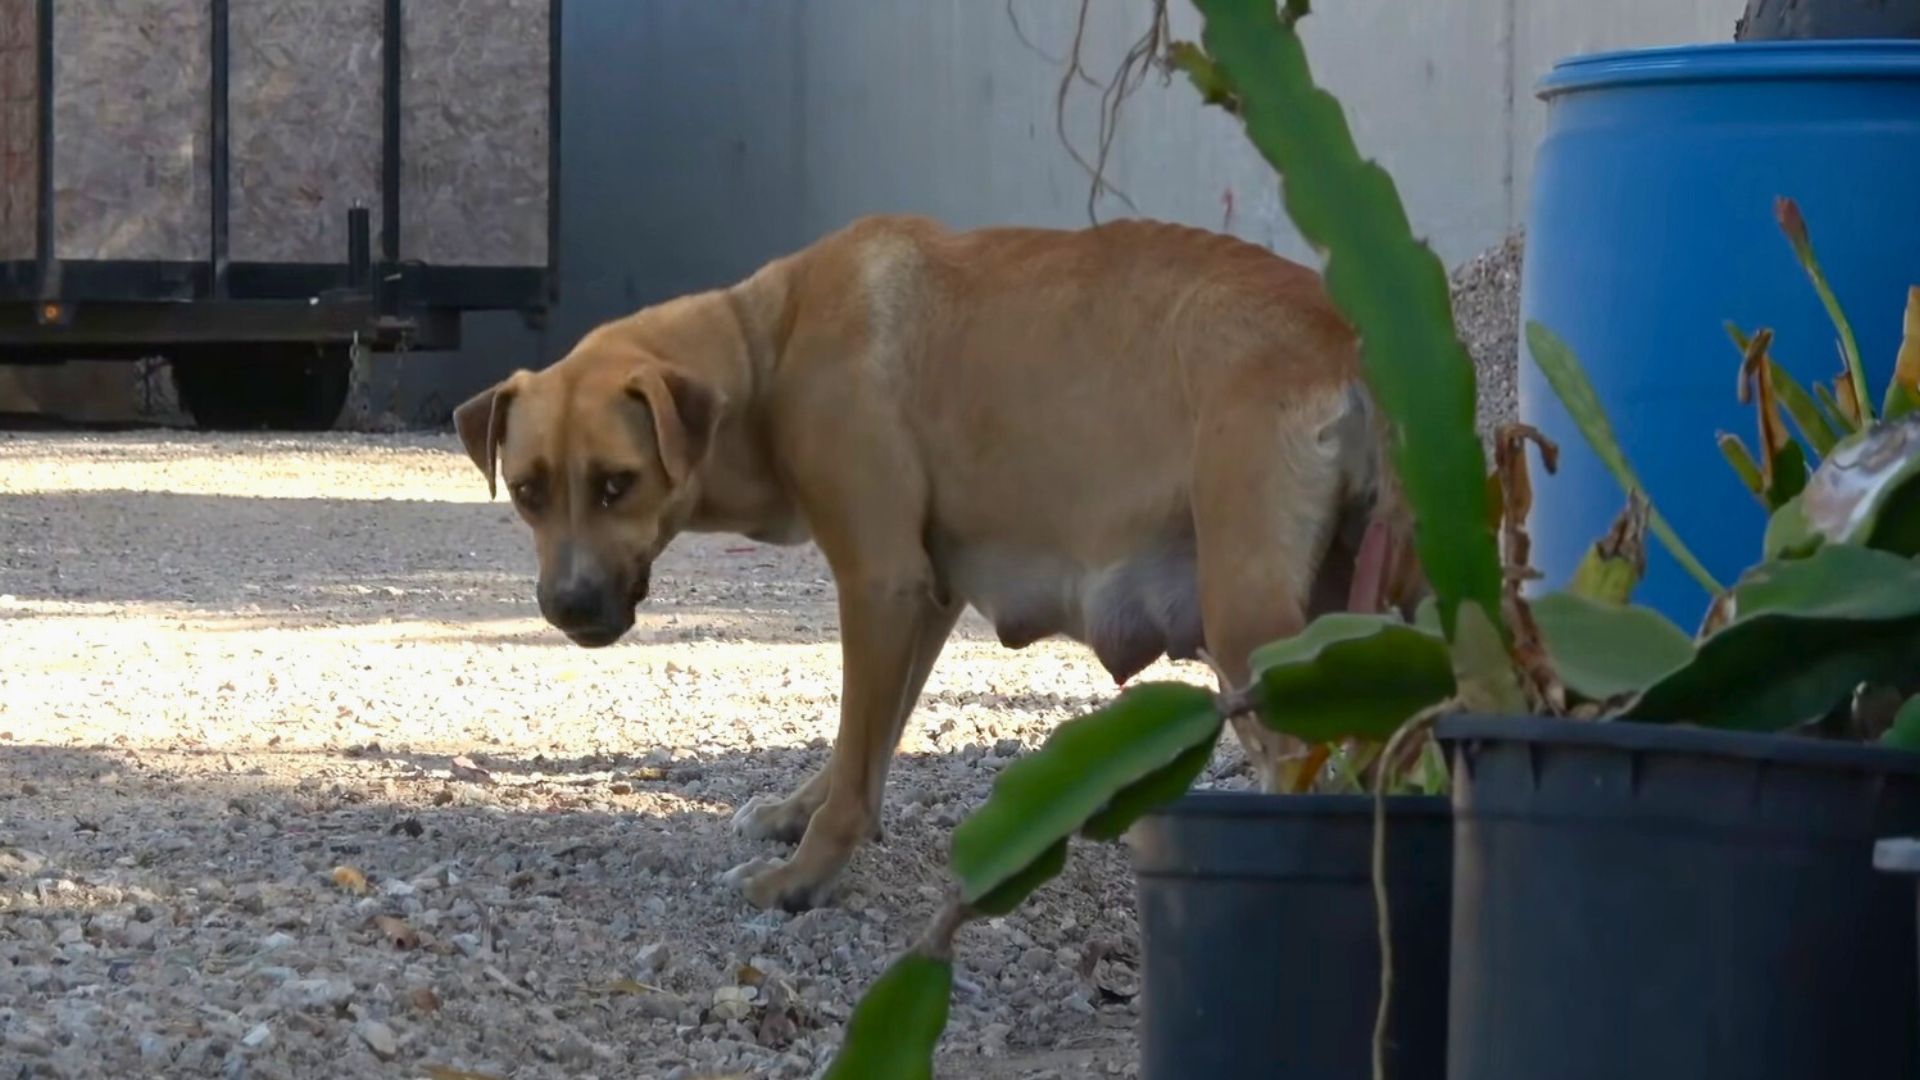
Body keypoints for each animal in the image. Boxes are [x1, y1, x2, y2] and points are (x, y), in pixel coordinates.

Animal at [449, 214, 1413, 903]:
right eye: (529, 490)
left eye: (617, 484)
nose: (570, 607)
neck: (769, 345)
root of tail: (1343, 341)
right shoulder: (927, 597)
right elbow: (863, 748)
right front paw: (799, 816)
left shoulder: (880, 583)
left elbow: (856, 753)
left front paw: (801, 879)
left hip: (1249, 626)